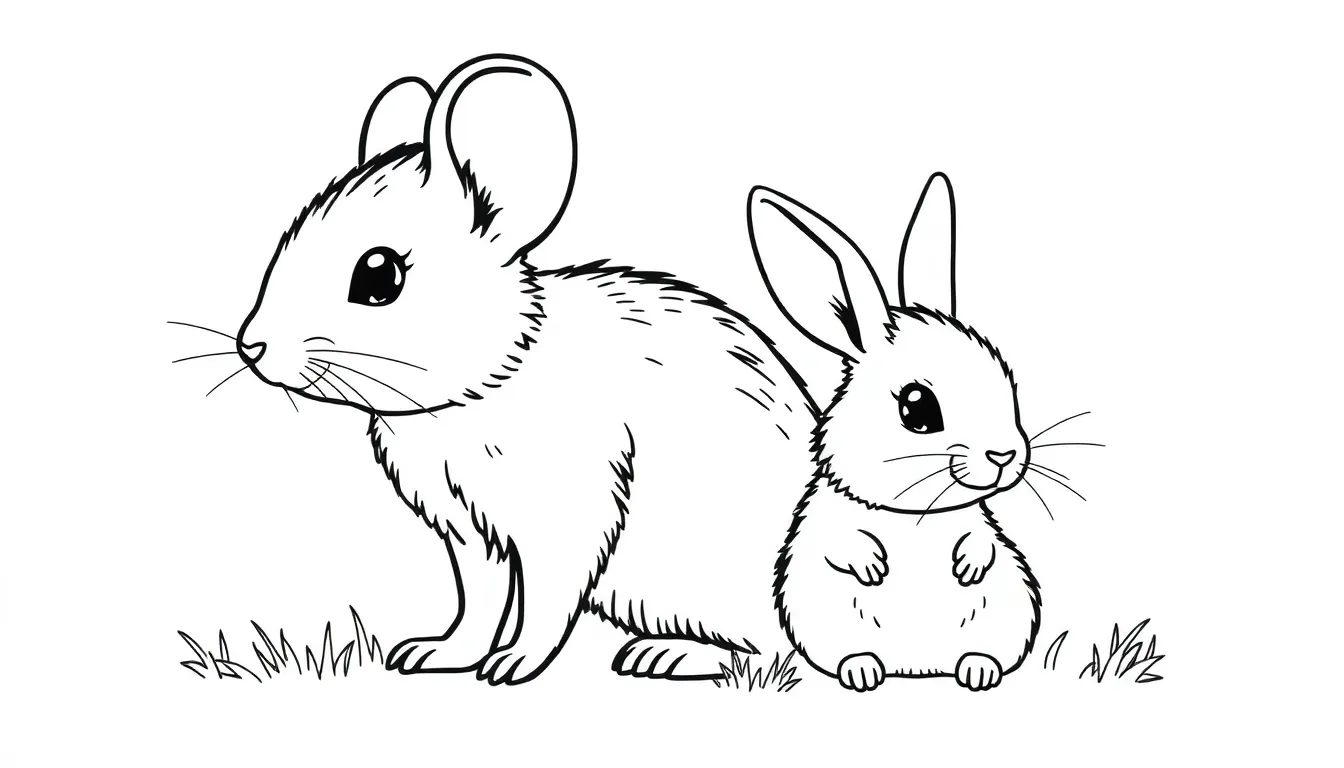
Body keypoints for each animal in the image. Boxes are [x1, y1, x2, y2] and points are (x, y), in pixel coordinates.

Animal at [233, 55, 817, 685]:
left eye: (379, 274)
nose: (251, 346)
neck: (498, 376)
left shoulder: (567, 514)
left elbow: (545, 601)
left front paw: (512, 665)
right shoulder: (470, 532)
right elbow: (479, 600)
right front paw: (436, 654)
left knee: (775, 650)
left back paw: (674, 655)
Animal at [747, 173, 1041, 692]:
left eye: (1007, 385)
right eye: (916, 407)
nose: (1006, 455)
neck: (915, 514)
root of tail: (919, 668)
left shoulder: (976, 519)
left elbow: (982, 539)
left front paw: (969, 565)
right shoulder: (827, 519)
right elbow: (842, 541)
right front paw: (871, 565)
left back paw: (978, 670)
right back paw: (862, 671)